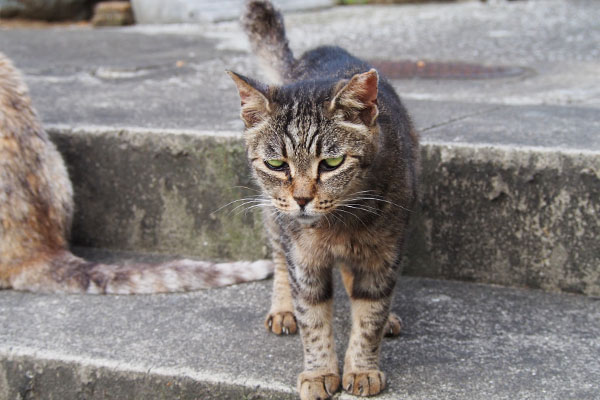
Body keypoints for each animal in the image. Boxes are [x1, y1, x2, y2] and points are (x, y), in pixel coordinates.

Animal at [227, 1, 420, 398]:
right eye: (276, 164)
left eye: (331, 163)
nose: (302, 199)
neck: (339, 226)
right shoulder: (304, 259)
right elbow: (313, 319)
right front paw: (319, 373)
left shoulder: (383, 254)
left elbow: (370, 316)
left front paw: (361, 368)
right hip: (274, 218)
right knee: (280, 261)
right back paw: (283, 309)